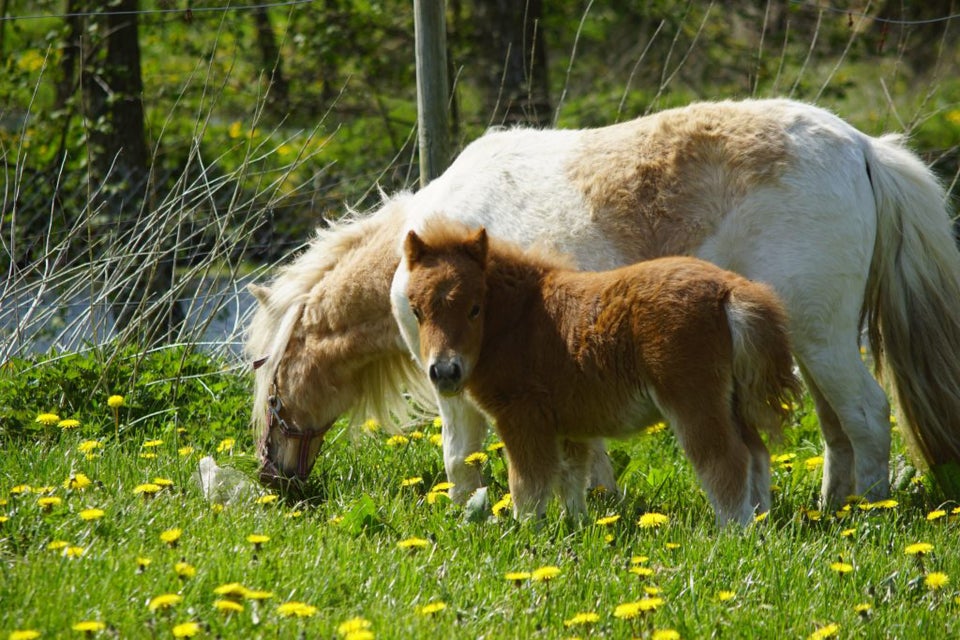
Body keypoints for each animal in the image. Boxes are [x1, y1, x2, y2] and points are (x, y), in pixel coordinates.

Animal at [246, 99, 960, 504]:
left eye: (268, 386)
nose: (272, 479)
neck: (424, 240)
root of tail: (863, 147)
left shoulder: (456, 377)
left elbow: (461, 456)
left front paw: (470, 516)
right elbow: (584, 453)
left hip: (821, 337)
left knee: (866, 416)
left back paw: (867, 515)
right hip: (806, 344)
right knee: (838, 429)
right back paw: (832, 510)